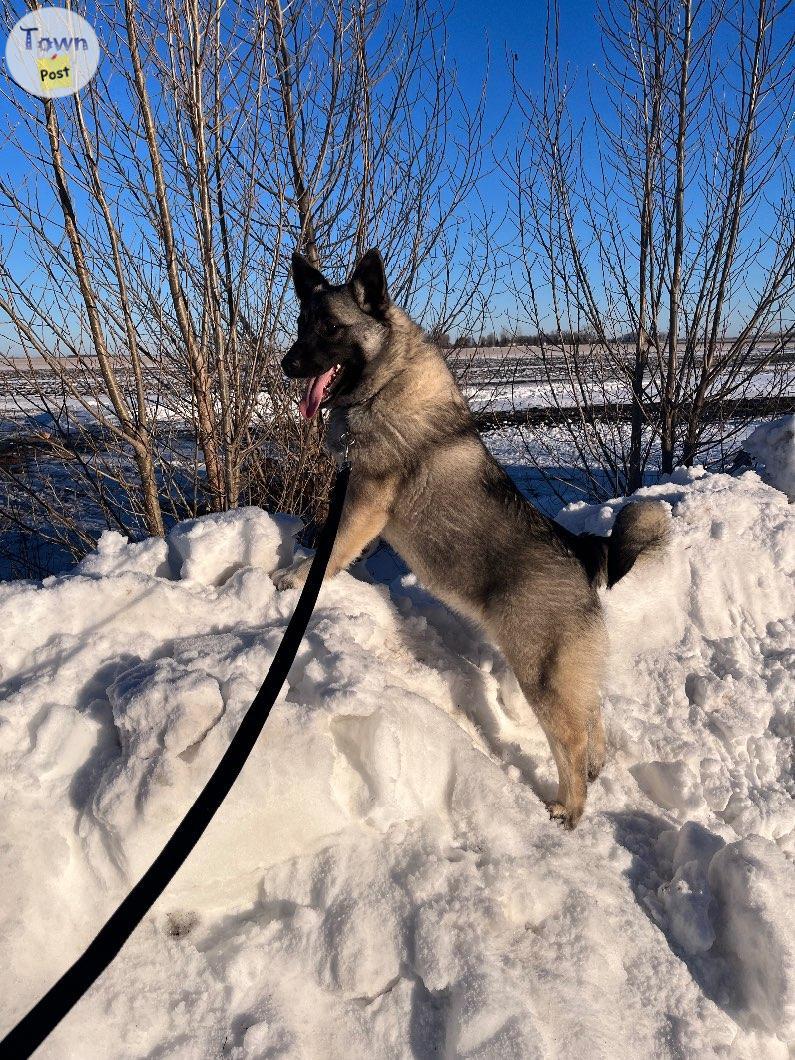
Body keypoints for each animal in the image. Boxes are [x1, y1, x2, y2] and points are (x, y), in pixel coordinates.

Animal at [277, 248, 669, 826]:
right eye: (303, 324)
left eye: (329, 328)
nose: (287, 365)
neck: (387, 381)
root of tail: (582, 552)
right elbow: (351, 551)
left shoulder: (366, 500)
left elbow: (333, 549)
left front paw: (296, 577)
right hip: (569, 674)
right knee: (593, 718)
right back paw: (594, 773)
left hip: (541, 673)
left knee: (572, 741)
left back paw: (568, 809)